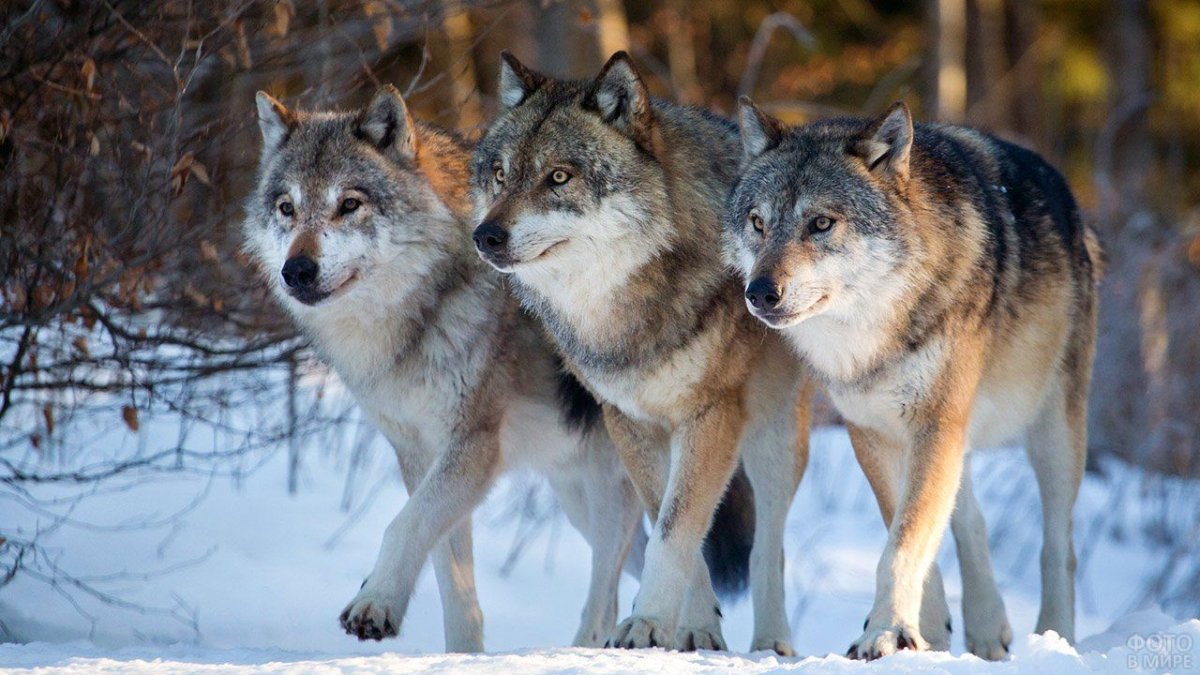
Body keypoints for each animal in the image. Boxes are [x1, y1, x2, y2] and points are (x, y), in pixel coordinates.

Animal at [242, 85, 654, 651]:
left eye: (349, 204)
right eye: (287, 208)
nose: (297, 270)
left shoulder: (473, 447)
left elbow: (402, 526)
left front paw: (374, 602)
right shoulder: (420, 454)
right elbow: (452, 582)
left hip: (614, 486)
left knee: (610, 595)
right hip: (581, 499)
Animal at [470, 51, 814, 655]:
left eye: (559, 176)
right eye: (501, 175)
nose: (485, 236)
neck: (624, 310)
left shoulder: (711, 416)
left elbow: (678, 528)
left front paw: (647, 622)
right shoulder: (627, 420)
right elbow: (671, 523)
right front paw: (689, 627)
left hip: (773, 438)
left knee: (769, 546)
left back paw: (773, 644)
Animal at [727, 98, 1102, 660]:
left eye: (821, 223)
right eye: (757, 222)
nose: (759, 292)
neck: (873, 332)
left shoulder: (933, 423)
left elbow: (902, 543)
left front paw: (885, 632)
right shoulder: (874, 432)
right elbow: (904, 531)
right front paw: (921, 629)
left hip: (1052, 433)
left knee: (1060, 546)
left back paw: (1054, 638)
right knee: (970, 519)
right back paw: (987, 627)